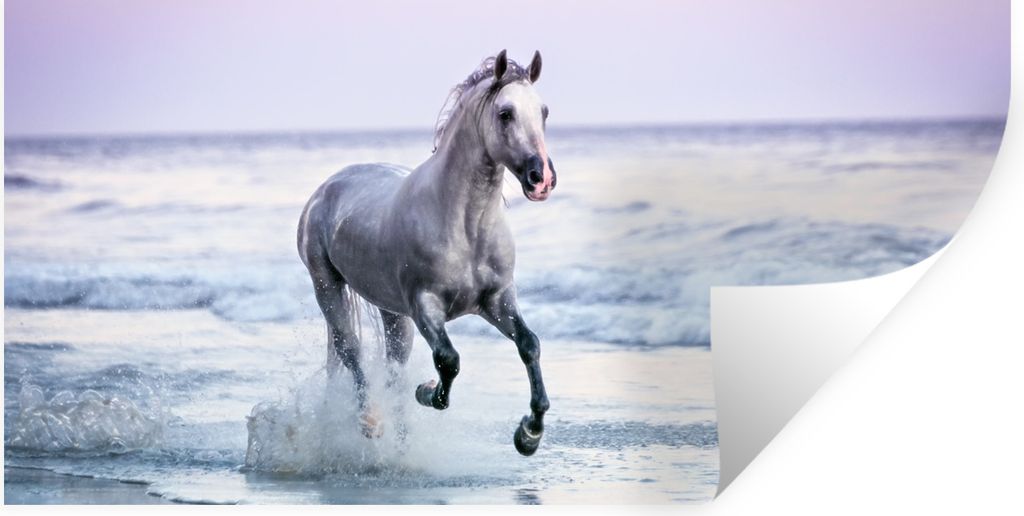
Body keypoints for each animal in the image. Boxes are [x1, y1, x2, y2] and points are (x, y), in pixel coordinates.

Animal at [297, 50, 556, 456]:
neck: (465, 226)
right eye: (505, 113)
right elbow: (448, 361)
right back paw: (370, 420)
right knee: (351, 351)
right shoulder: (425, 306)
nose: (541, 178)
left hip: (391, 312)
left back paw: (401, 443)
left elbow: (529, 345)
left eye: (543, 111)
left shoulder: (497, 300)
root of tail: (325, 189)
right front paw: (427, 391)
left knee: (393, 367)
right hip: (328, 287)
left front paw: (529, 434)